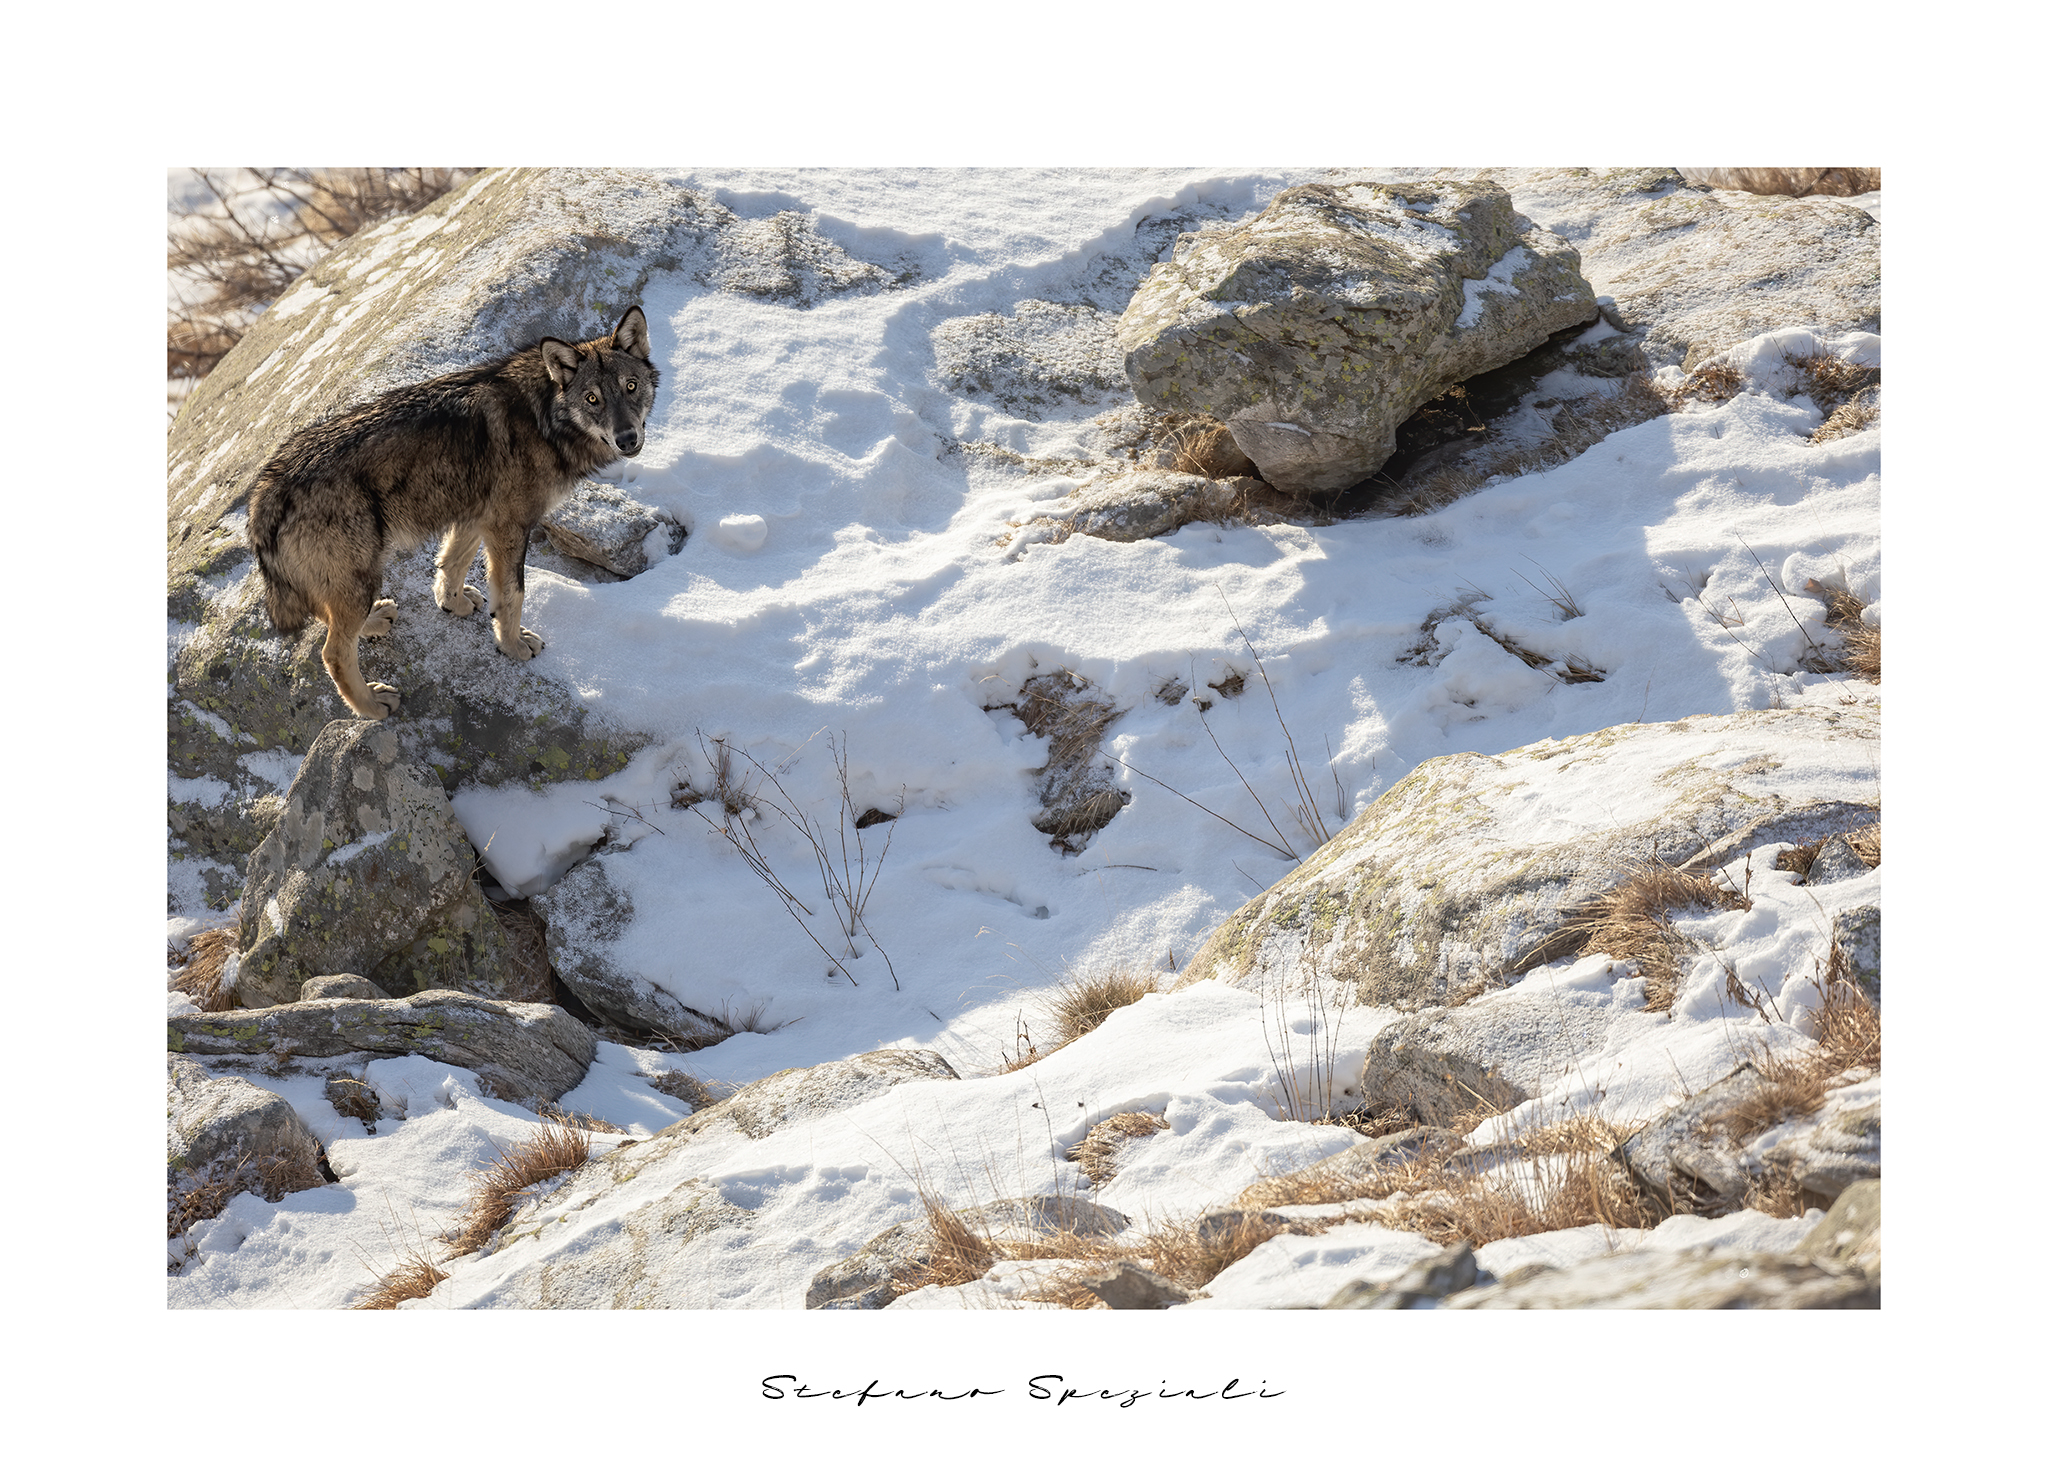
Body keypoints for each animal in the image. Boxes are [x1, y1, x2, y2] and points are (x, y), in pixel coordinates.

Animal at [246, 305, 659, 718]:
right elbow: (512, 594)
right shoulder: (509, 527)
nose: (627, 439)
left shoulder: (476, 515)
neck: (543, 417)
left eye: (630, 387)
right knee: (332, 652)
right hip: (361, 575)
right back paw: (372, 705)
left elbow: (451, 563)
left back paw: (374, 621)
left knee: (331, 620)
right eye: (592, 399)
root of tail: (265, 491)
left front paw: (453, 603)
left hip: (350, 580)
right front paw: (512, 646)